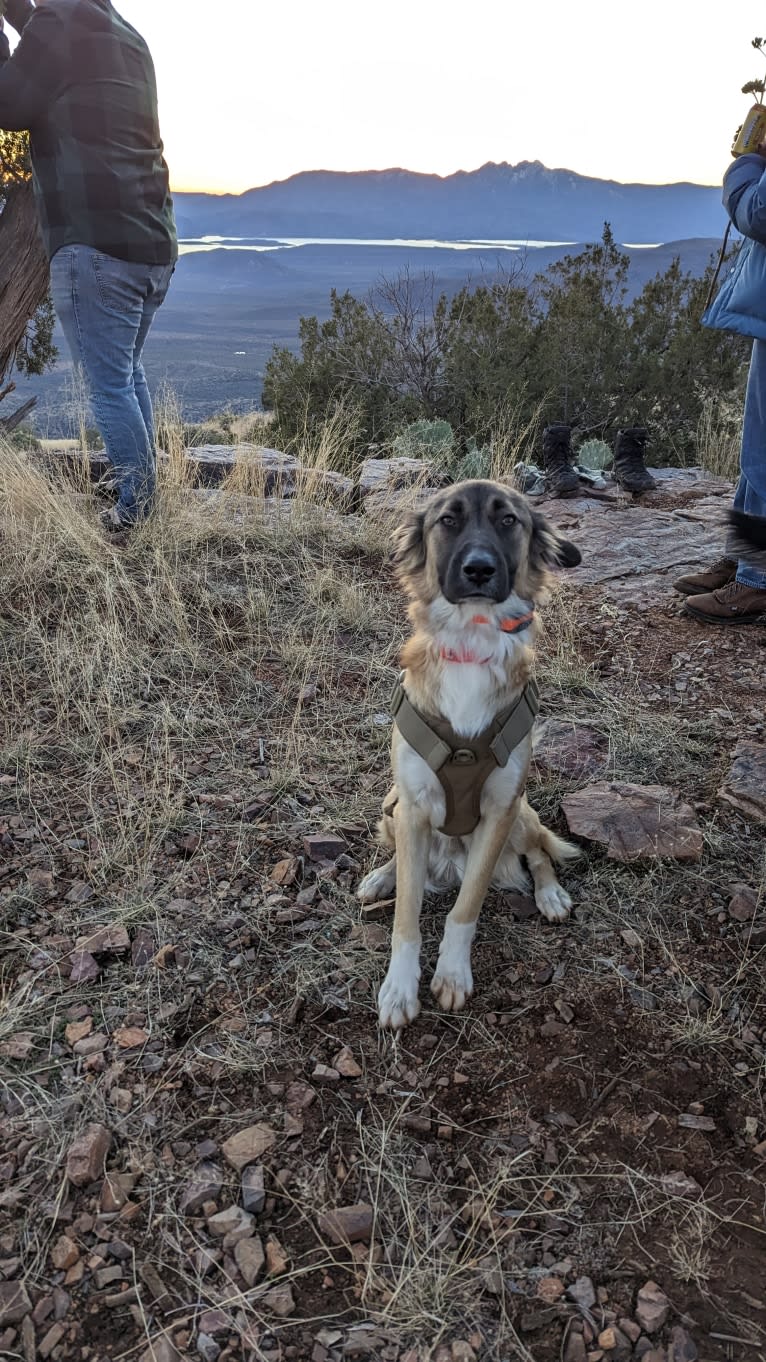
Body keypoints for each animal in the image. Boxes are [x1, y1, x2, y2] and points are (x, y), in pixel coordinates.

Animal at [357, 473, 577, 1024]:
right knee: (402, 859)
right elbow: (407, 916)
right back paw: (381, 877)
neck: (471, 643)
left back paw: (551, 894)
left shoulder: (500, 809)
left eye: (508, 520)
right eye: (448, 520)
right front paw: (399, 989)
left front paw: (453, 975)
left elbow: (466, 908)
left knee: (538, 852)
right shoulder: (413, 805)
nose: (479, 569)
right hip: (390, 805)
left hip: (522, 815)